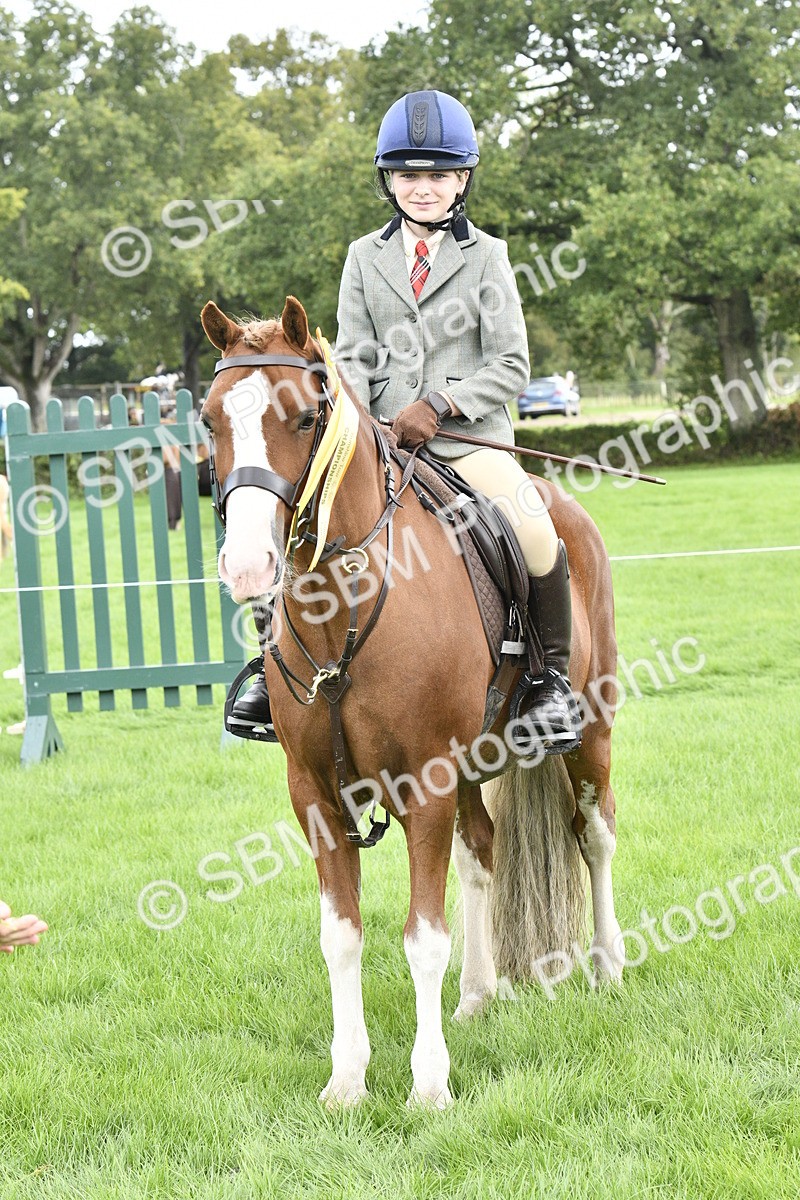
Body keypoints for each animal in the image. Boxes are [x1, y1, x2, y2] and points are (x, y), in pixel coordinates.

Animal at [200, 295, 624, 1109]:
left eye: (304, 417)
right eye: (209, 421)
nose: (247, 565)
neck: (344, 606)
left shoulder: (423, 782)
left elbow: (423, 937)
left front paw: (428, 1084)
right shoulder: (315, 794)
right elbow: (341, 936)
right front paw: (347, 1079)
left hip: (591, 732)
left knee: (595, 836)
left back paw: (608, 967)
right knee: (483, 851)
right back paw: (479, 995)